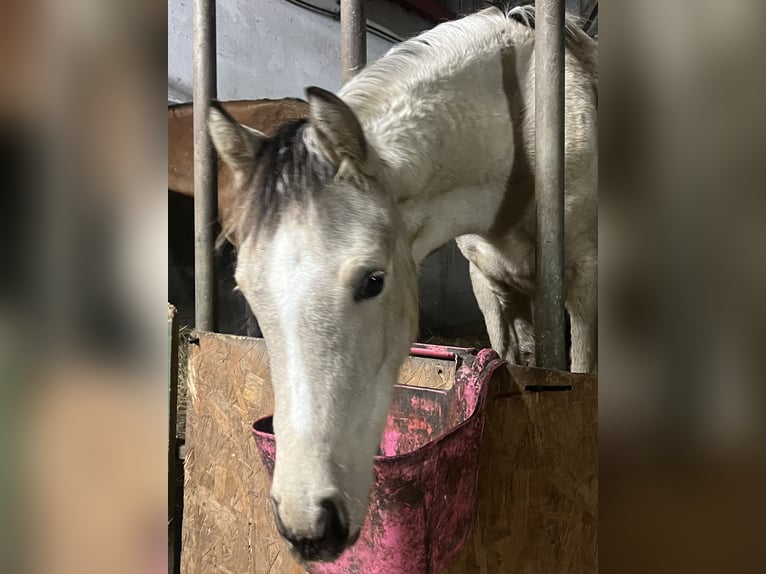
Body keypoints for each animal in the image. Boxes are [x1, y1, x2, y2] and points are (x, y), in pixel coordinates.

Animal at [208, 3, 600, 564]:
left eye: (373, 281)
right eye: (249, 292)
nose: (309, 526)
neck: (520, 130)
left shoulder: (582, 282)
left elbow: (580, 369)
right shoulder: (494, 286)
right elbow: (518, 357)